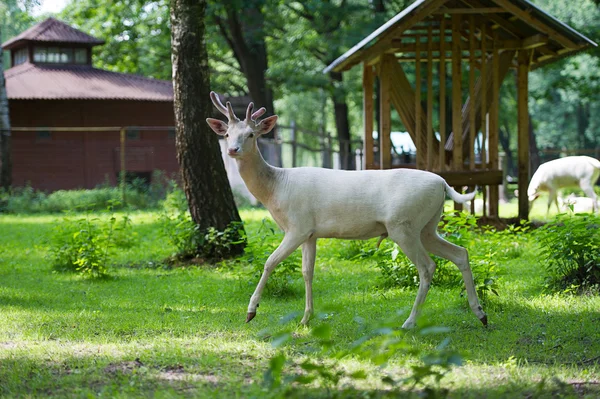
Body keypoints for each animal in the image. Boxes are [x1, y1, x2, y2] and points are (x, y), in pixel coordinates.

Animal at [206, 92, 488, 330]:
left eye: (251, 134)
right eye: (227, 134)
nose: (232, 150)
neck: (276, 190)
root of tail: (442, 183)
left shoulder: (297, 226)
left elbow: (270, 262)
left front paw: (251, 311)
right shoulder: (310, 233)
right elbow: (307, 272)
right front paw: (306, 318)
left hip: (403, 225)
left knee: (428, 266)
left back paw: (409, 322)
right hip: (427, 226)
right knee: (460, 253)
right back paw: (481, 314)